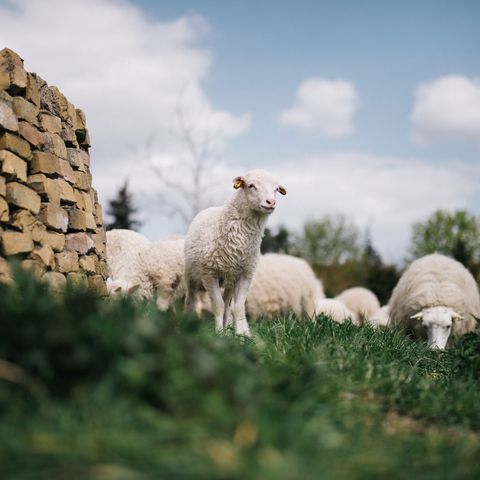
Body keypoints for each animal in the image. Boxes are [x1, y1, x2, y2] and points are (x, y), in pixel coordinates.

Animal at [185, 171, 286, 336]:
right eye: (251, 185)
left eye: (276, 189)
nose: (271, 202)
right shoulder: (209, 274)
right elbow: (218, 306)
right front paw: (219, 333)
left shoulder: (246, 275)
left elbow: (237, 308)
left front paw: (241, 335)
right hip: (191, 275)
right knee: (191, 299)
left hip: (230, 280)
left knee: (227, 303)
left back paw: (228, 328)